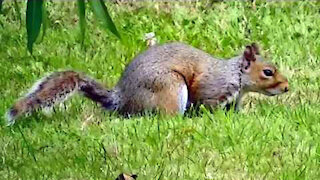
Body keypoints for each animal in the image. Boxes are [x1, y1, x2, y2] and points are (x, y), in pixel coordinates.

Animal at [6, 42, 288, 124]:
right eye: (268, 72)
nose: (287, 87)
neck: (235, 76)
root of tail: (122, 98)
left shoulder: (234, 100)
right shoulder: (211, 90)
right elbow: (207, 104)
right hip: (170, 88)